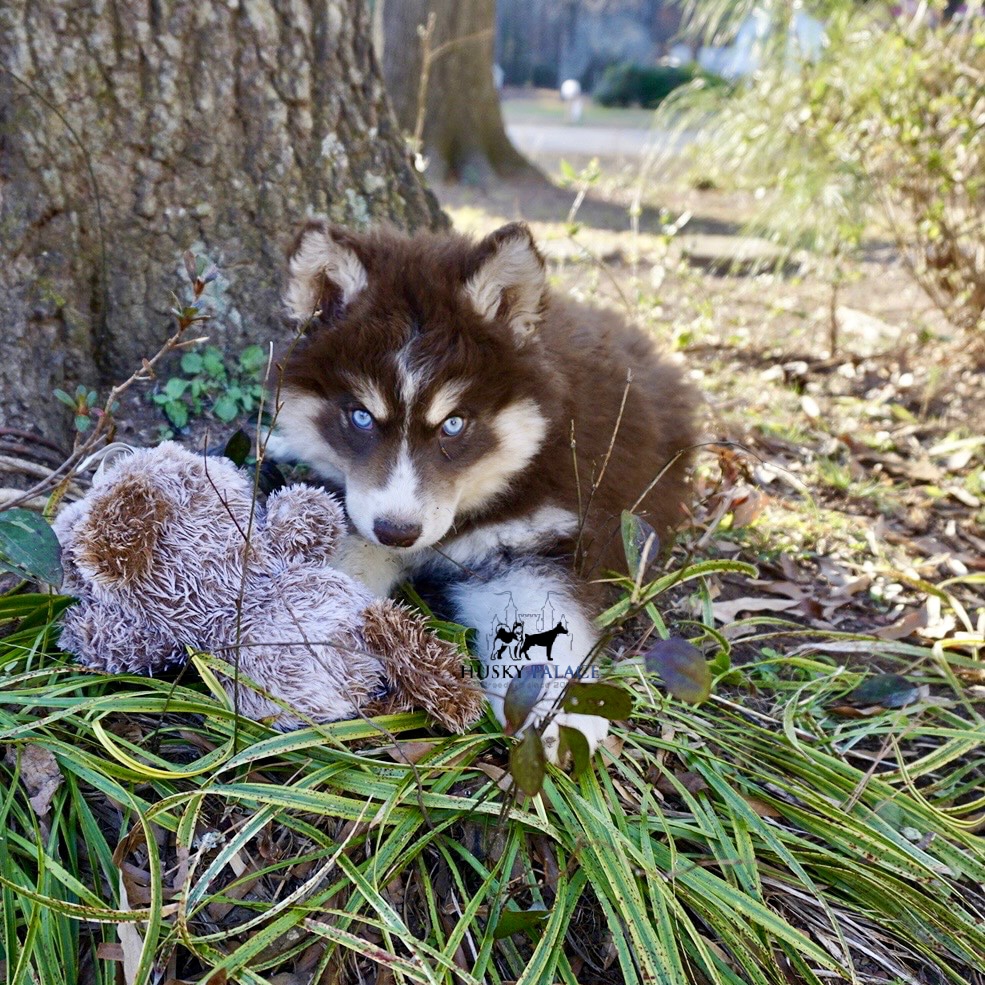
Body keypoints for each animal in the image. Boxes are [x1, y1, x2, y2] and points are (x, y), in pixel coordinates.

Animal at [272, 223, 696, 756]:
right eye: (361, 417)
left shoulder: (534, 542)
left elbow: (543, 617)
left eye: (454, 424)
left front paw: (557, 710)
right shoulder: (357, 517)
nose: (397, 532)